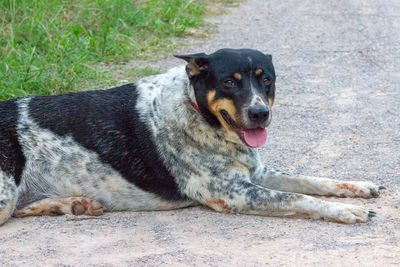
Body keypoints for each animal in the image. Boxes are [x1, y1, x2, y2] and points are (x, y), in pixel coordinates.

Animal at [0, 48, 384, 226]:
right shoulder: (236, 194)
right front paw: (345, 211)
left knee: (23, 210)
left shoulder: (257, 174)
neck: (197, 111)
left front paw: (358, 187)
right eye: (229, 82)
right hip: (5, 195)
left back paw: (72, 204)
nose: (260, 113)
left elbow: (311, 180)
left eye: (267, 80)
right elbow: (301, 199)